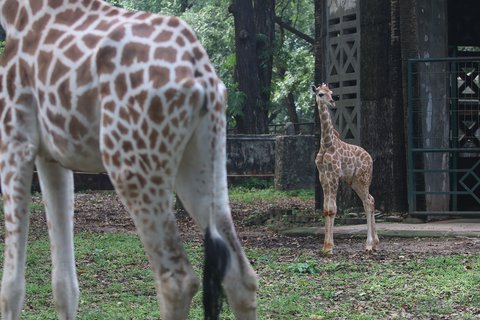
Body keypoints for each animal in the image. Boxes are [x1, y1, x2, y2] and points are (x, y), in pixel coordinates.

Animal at [0, 0, 258, 320]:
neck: (15, 13)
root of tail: (201, 74)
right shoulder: (52, 156)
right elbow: (64, 286)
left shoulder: (15, 138)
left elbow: (11, 287)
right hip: (203, 159)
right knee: (241, 276)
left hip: (130, 161)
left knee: (177, 279)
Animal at [312, 84, 378, 254]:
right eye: (320, 94)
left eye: (331, 93)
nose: (332, 103)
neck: (326, 144)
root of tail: (370, 158)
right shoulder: (323, 176)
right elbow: (326, 209)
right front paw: (325, 247)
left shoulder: (334, 175)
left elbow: (332, 209)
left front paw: (329, 248)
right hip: (353, 181)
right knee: (370, 200)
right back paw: (375, 243)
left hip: (363, 178)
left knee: (368, 202)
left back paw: (369, 244)